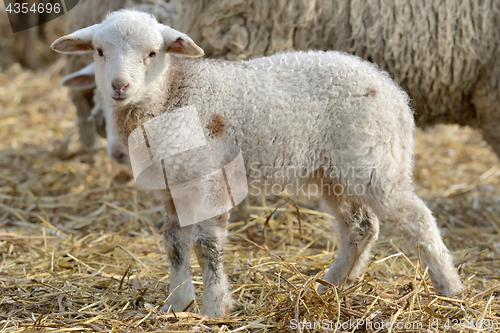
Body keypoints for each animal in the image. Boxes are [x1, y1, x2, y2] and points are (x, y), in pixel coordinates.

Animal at [50, 9, 464, 316]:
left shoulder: (210, 177)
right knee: (360, 227)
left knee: (417, 219)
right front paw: (176, 303)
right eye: (99, 51)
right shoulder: (172, 183)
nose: (120, 87)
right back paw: (331, 285)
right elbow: (174, 242)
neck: (171, 93)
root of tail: (390, 87)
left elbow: (207, 244)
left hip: (375, 162)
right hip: (333, 171)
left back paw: (450, 289)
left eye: (152, 53)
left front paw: (214, 308)